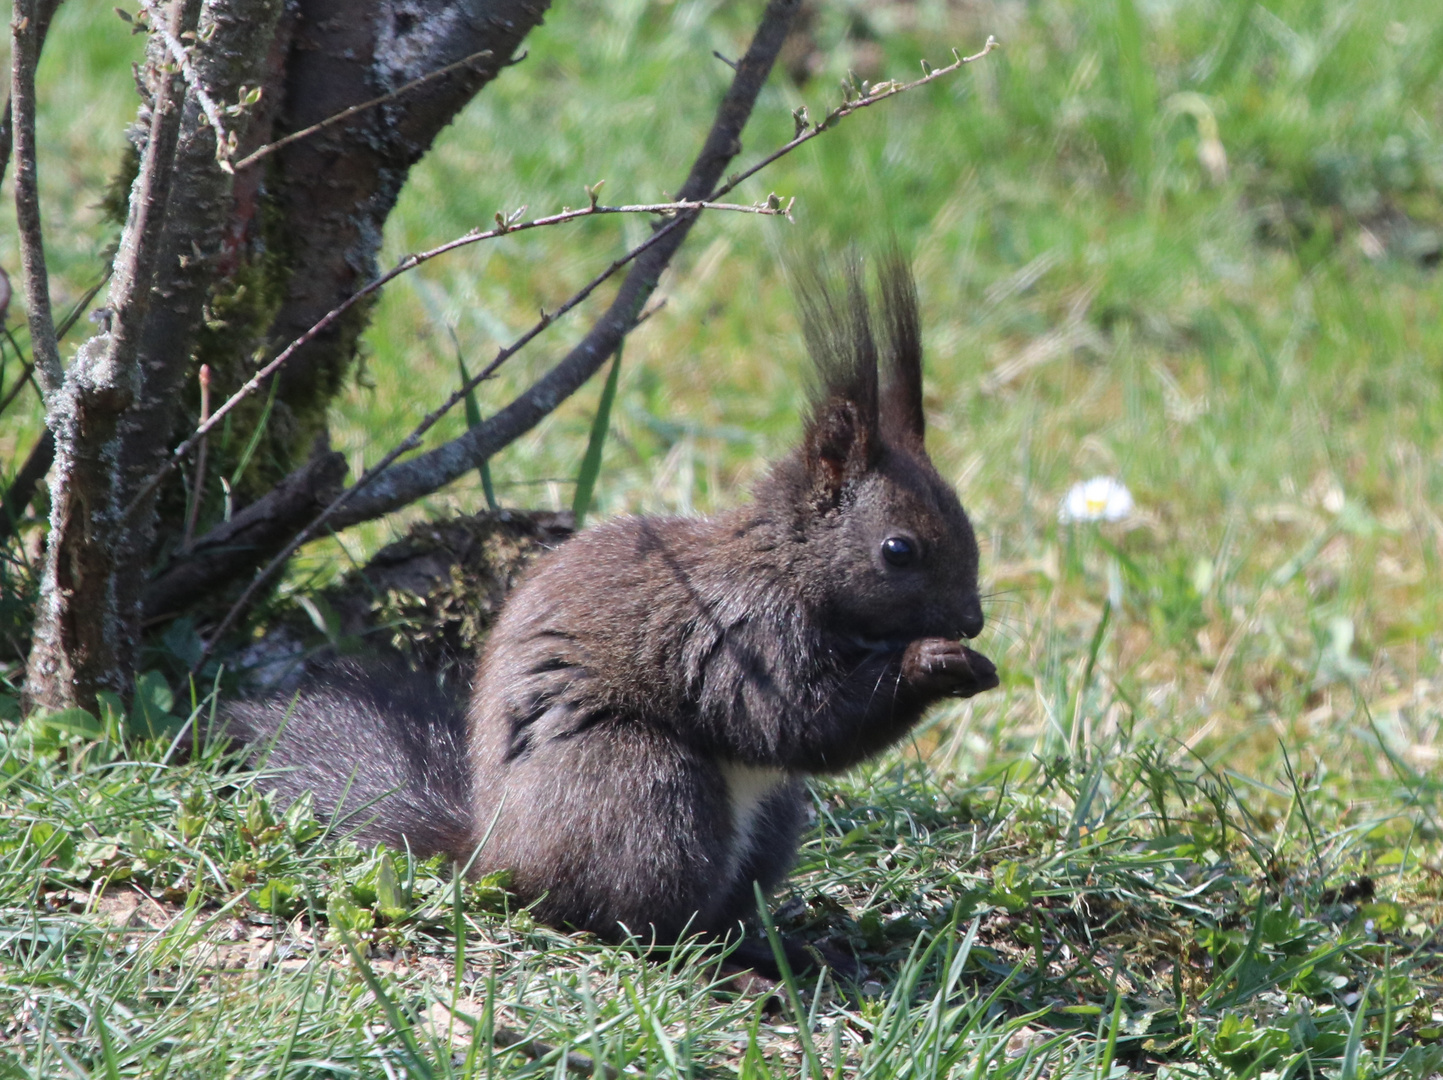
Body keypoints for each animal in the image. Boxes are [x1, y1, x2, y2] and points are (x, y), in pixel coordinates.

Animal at [219, 255, 998, 970]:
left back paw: (774, 950)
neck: (782, 567)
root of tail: (498, 856)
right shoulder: (741, 631)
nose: (971, 622)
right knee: (637, 919)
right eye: (898, 550)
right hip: (639, 789)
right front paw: (934, 663)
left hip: (766, 821)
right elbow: (795, 719)